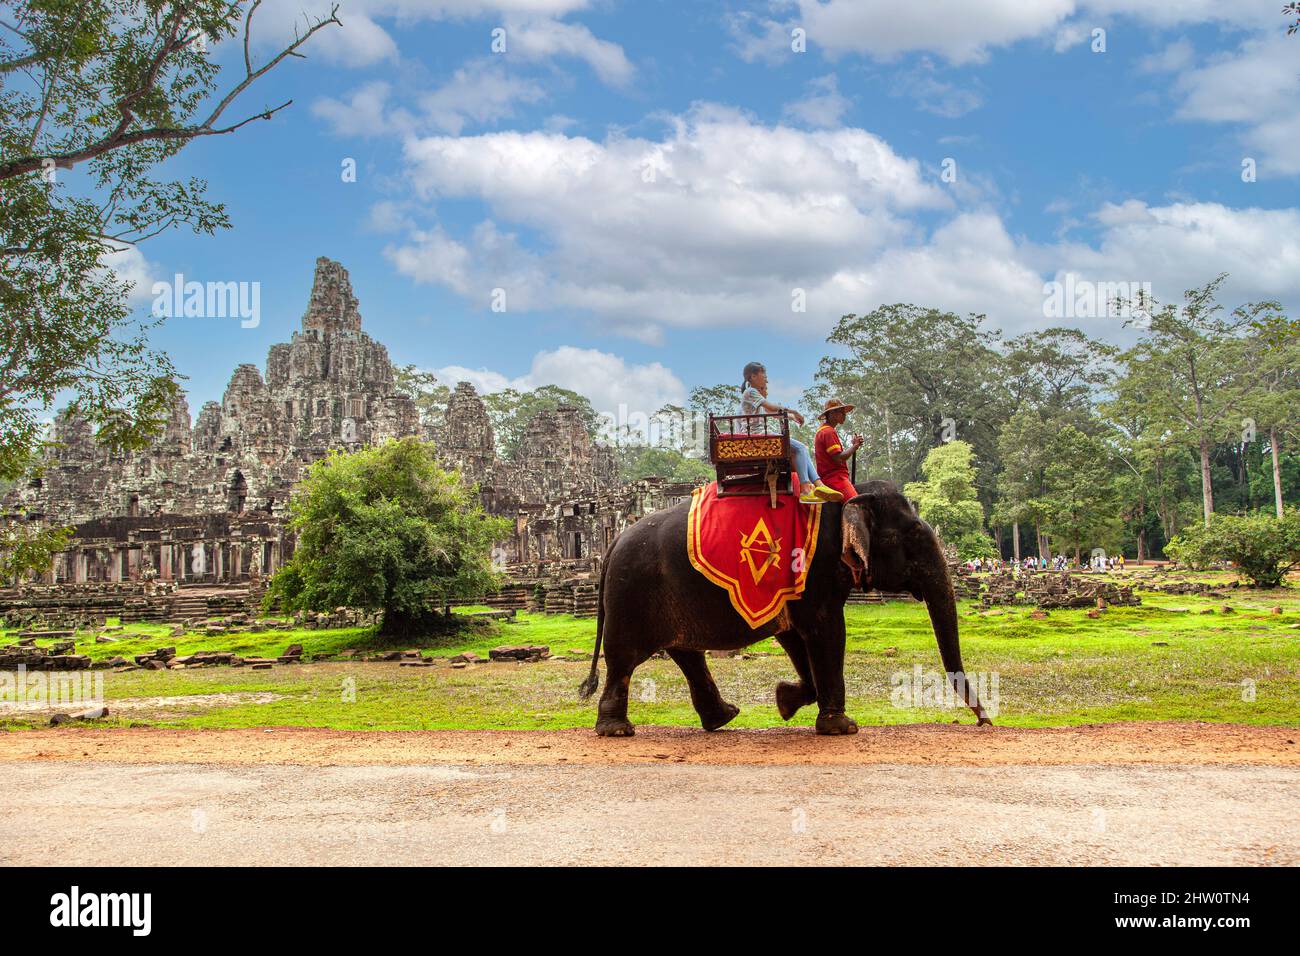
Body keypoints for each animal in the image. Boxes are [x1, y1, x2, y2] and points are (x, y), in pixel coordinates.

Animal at [578, 479, 994, 736]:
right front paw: (842, 727)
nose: (984, 721)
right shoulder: (815, 570)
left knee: (685, 653)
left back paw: (723, 717)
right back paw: (617, 730)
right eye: (910, 535)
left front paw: (785, 701)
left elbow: (796, 636)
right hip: (630, 595)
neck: (849, 492)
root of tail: (611, 546)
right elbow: (827, 630)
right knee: (624, 659)